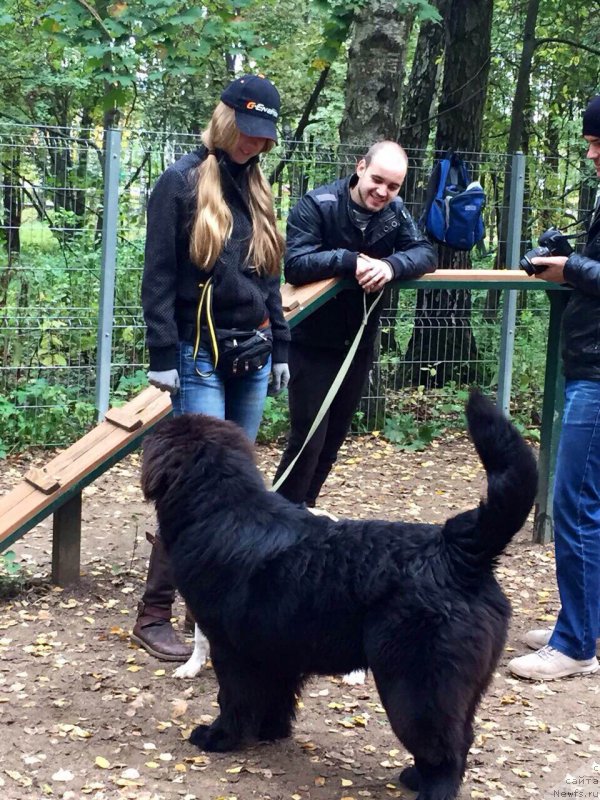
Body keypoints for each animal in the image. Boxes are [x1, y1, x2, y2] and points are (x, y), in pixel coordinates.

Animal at [143, 392, 536, 800]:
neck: (222, 510)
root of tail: (458, 551)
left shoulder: (232, 649)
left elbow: (233, 698)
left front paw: (218, 737)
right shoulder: (277, 648)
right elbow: (276, 697)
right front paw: (269, 732)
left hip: (417, 685)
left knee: (446, 748)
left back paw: (429, 787)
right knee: (463, 736)